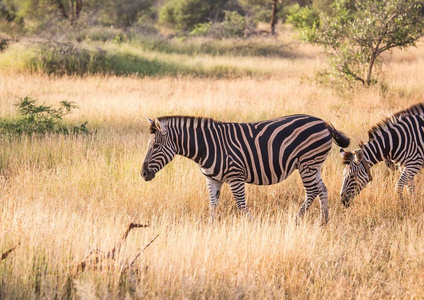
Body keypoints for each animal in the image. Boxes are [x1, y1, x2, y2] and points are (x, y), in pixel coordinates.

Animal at [141, 113, 350, 224]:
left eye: (156, 146)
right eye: (149, 146)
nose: (143, 174)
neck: (208, 147)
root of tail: (323, 122)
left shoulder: (235, 176)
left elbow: (241, 205)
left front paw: (252, 224)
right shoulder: (212, 179)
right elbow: (212, 205)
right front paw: (211, 228)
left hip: (307, 163)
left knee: (312, 191)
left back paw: (296, 220)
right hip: (314, 166)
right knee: (322, 189)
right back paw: (324, 221)